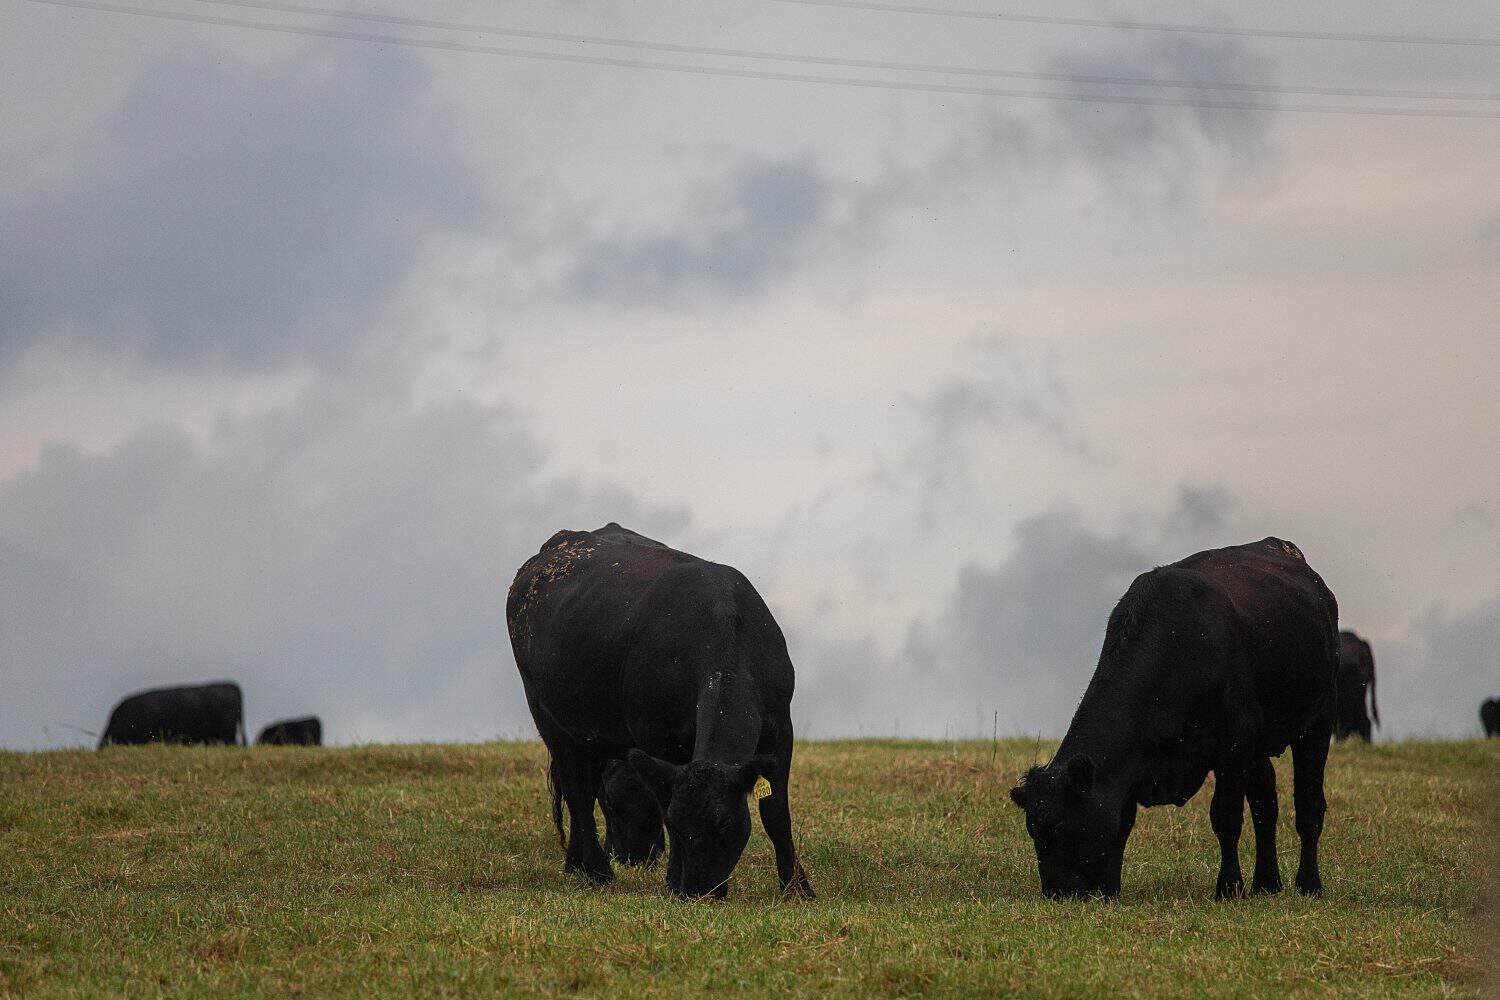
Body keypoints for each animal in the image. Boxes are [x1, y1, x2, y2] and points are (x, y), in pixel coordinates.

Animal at [507, 522, 814, 899]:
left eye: (725, 823)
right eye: (676, 824)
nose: (698, 891)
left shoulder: (780, 730)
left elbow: (776, 813)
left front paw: (797, 887)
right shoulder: (656, 735)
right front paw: (671, 882)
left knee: (586, 787)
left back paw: (576, 864)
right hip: (550, 718)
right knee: (577, 791)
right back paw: (598, 871)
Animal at [1009, 537, 1338, 901]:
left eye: (1060, 824)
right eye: (1032, 829)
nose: (1057, 893)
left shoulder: (1233, 743)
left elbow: (1226, 817)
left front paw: (1228, 887)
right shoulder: (1131, 767)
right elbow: (1121, 823)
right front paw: (1111, 889)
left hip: (1318, 722)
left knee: (1308, 806)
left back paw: (1308, 884)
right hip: (1259, 745)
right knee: (1266, 804)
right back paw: (1266, 883)